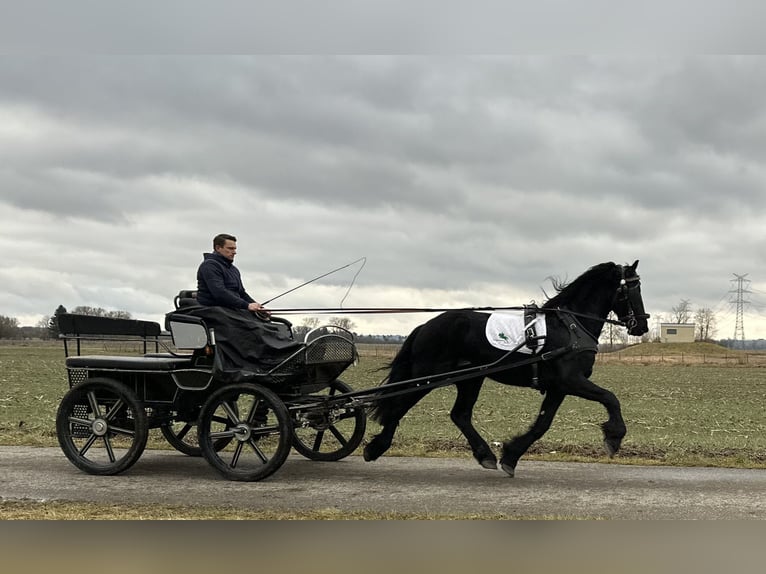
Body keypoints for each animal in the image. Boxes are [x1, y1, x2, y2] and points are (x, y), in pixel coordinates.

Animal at [364, 260, 652, 476]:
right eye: (632, 289)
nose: (642, 326)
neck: (570, 326)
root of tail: (426, 326)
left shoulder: (558, 388)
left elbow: (542, 424)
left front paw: (511, 456)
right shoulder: (571, 380)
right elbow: (610, 398)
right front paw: (614, 437)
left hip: (469, 379)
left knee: (460, 415)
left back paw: (485, 455)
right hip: (427, 376)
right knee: (398, 407)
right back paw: (375, 448)